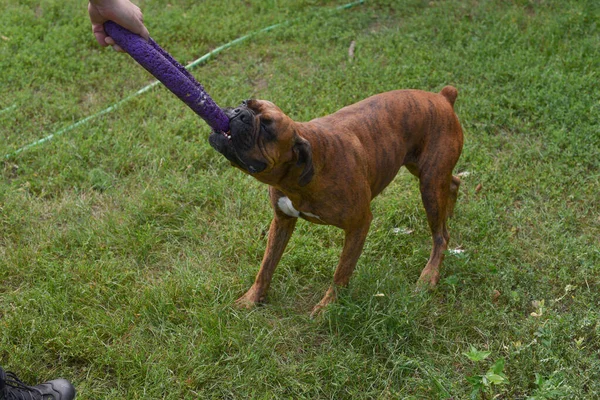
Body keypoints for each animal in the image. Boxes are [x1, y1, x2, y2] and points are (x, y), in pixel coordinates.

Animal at [210, 85, 464, 316]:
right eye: (244, 102)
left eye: (266, 127)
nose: (239, 112)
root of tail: (443, 97)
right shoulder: (281, 221)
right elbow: (266, 265)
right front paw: (252, 299)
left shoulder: (359, 225)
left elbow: (341, 272)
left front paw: (328, 308)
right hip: (425, 172)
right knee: (454, 182)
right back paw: (449, 213)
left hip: (429, 184)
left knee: (441, 235)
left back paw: (429, 275)